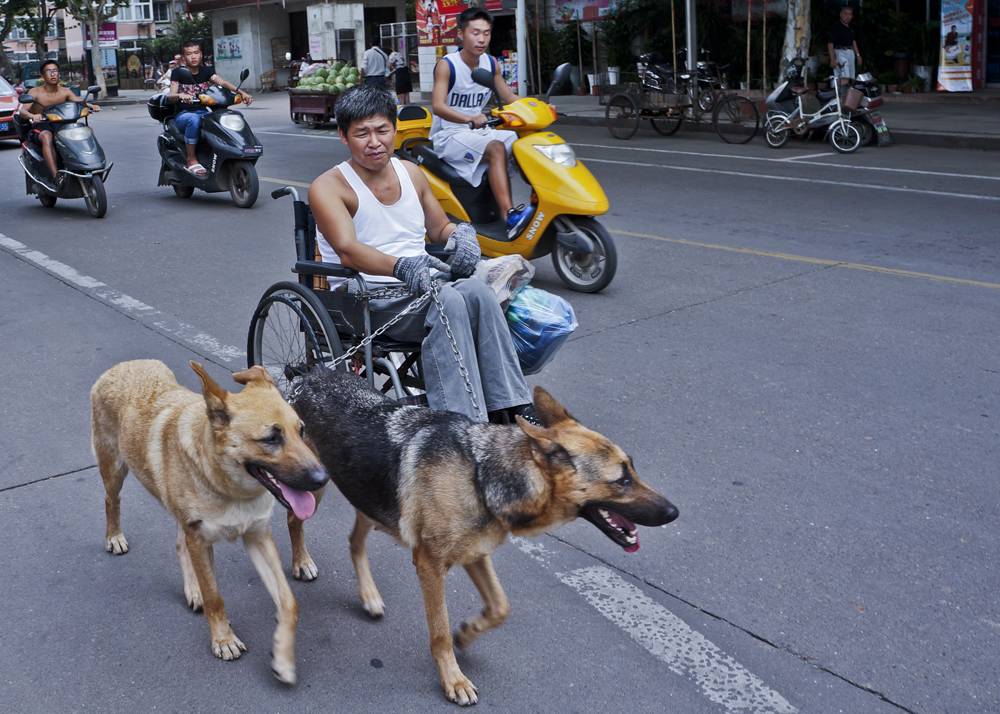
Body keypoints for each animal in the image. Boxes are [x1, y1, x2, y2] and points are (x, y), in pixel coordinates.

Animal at [89, 358, 328, 680]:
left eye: (301, 431)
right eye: (271, 438)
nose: (322, 479)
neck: (231, 489)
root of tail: (123, 365)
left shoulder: (257, 536)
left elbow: (288, 601)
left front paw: (283, 655)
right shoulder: (201, 540)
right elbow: (215, 596)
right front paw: (223, 640)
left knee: (179, 544)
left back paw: (193, 589)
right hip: (114, 469)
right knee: (111, 501)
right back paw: (114, 536)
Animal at [290, 370, 680, 704]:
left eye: (633, 468)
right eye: (621, 480)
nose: (674, 513)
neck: (480, 473)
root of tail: (303, 375)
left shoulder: (476, 554)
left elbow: (500, 607)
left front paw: (468, 633)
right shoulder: (430, 566)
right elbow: (440, 631)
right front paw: (453, 679)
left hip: (369, 501)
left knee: (354, 541)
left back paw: (369, 596)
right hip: (316, 488)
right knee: (297, 523)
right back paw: (301, 563)